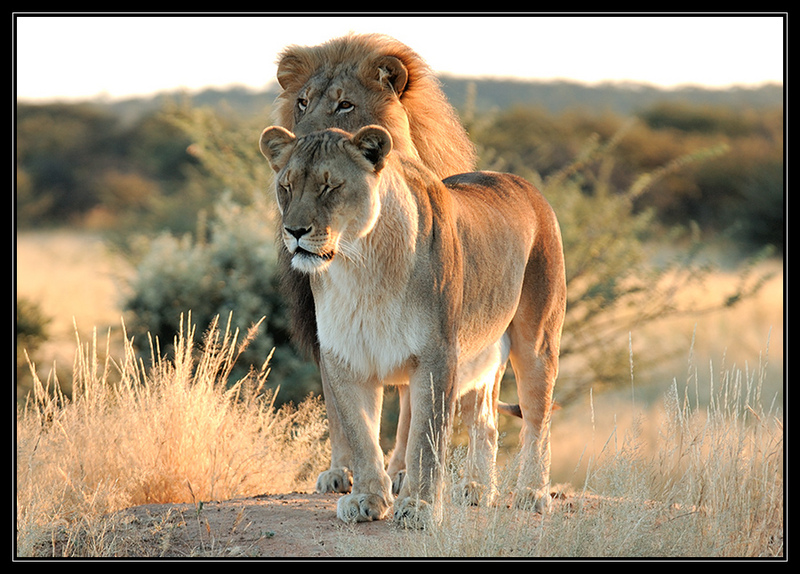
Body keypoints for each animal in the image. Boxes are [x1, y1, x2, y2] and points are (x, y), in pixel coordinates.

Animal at [260, 125, 564, 528]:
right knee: (485, 422)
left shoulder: (437, 356)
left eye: (330, 186)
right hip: (479, 356)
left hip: (536, 342)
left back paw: (533, 493)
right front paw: (367, 499)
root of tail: (526, 185)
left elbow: (424, 437)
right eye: (286, 186)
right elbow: (360, 434)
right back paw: (476, 489)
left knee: (536, 420)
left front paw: (418, 505)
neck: (360, 266)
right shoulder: (344, 357)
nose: (294, 230)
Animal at [272, 33, 484, 498]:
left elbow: (412, 407)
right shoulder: (327, 323)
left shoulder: (425, 327)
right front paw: (341, 472)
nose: (300, 144)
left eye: (345, 105)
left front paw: (403, 471)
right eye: (302, 103)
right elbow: (340, 406)